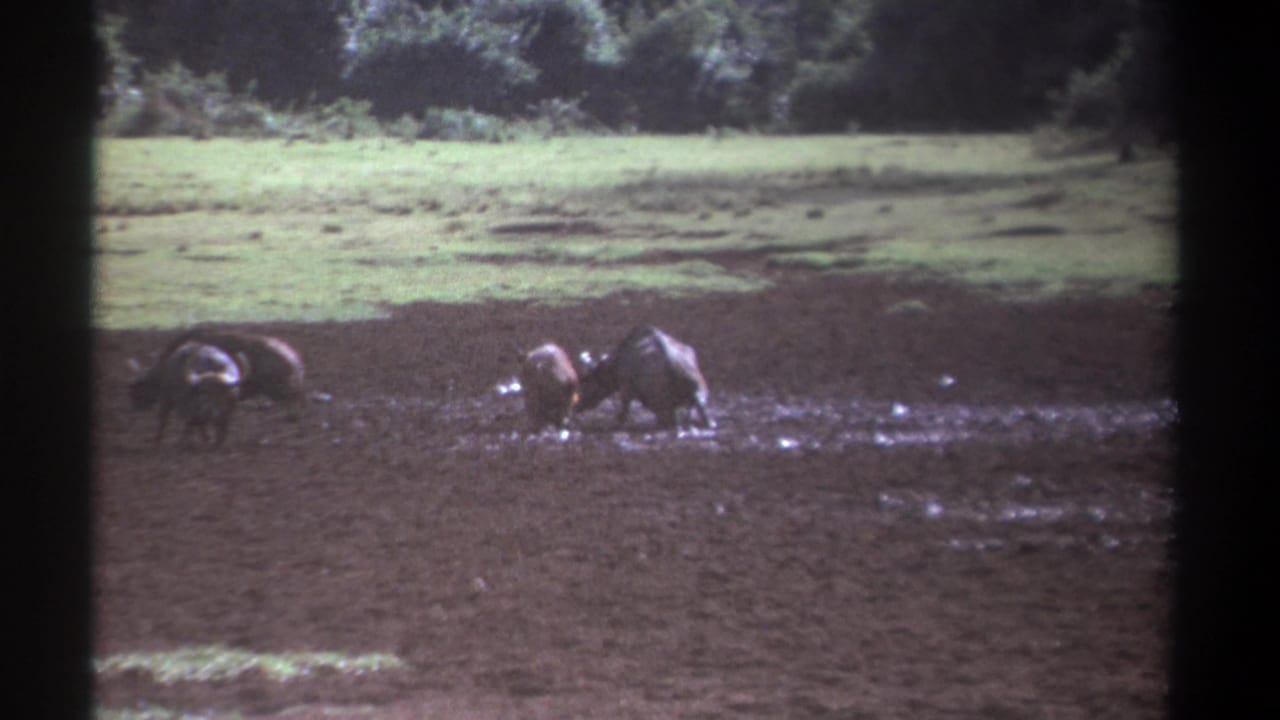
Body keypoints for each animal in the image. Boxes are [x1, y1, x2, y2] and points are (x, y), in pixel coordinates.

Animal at [578, 325, 712, 430]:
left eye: (587, 382)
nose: (578, 405)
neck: (614, 369)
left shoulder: (626, 388)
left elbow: (622, 414)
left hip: (661, 400)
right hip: (698, 394)